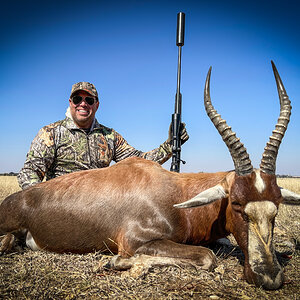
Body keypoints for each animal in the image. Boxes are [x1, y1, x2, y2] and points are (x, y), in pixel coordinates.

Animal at [0, 61, 298, 288]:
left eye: (277, 205)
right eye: (236, 204)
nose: (269, 277)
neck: (175, 193)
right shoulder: (136, 241)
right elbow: (206, 257)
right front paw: (118, 262)